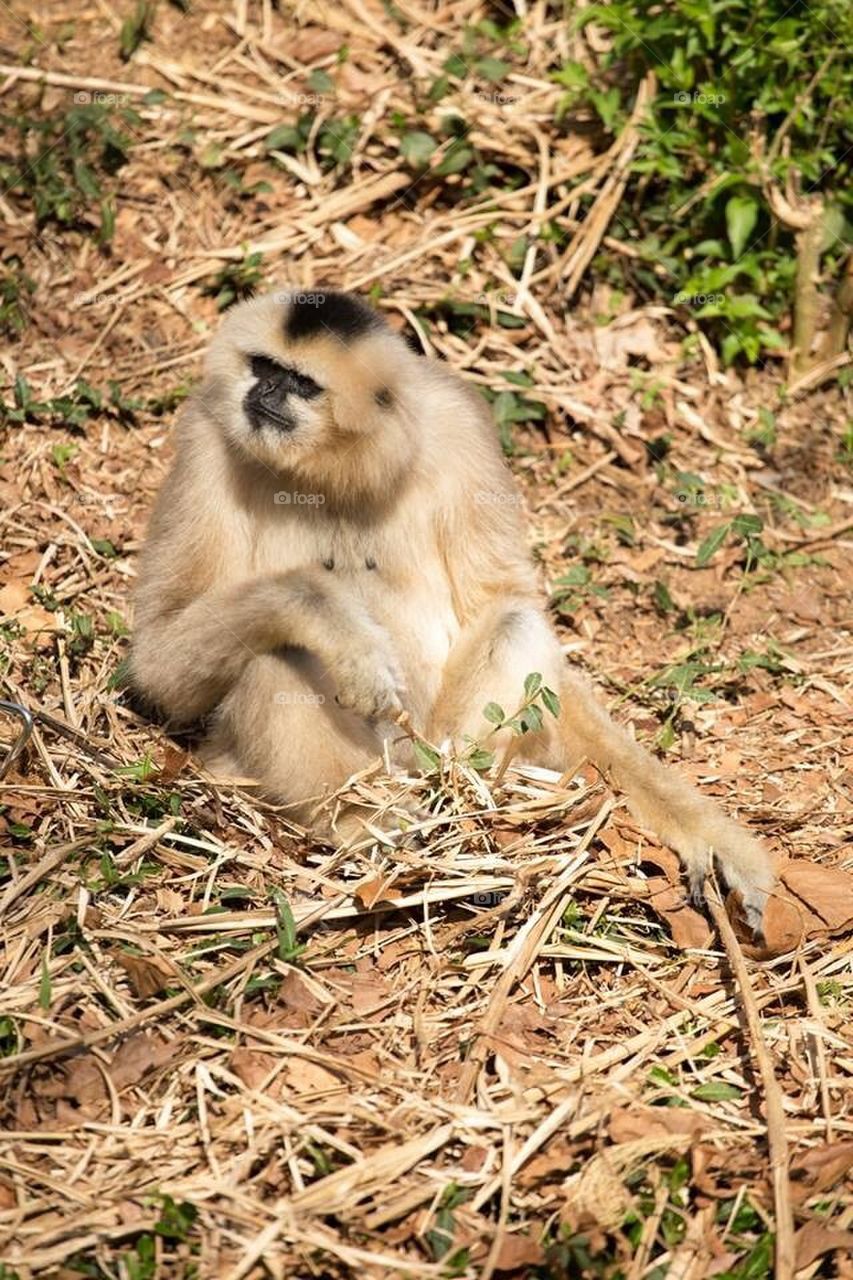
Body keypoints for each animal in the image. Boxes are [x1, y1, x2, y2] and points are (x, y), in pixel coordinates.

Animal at [130, 288, 777, 933]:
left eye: (301, 383)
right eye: (263, 366)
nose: (262, 391)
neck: (339, 471)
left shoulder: (457, 422)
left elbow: (504, 598)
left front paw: (707, 834)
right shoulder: (205, 436)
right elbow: (160, 660)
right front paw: (343, 633)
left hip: (422, 742)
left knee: (512, 624)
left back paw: (460, 799)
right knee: (278, 653)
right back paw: (371, 824)